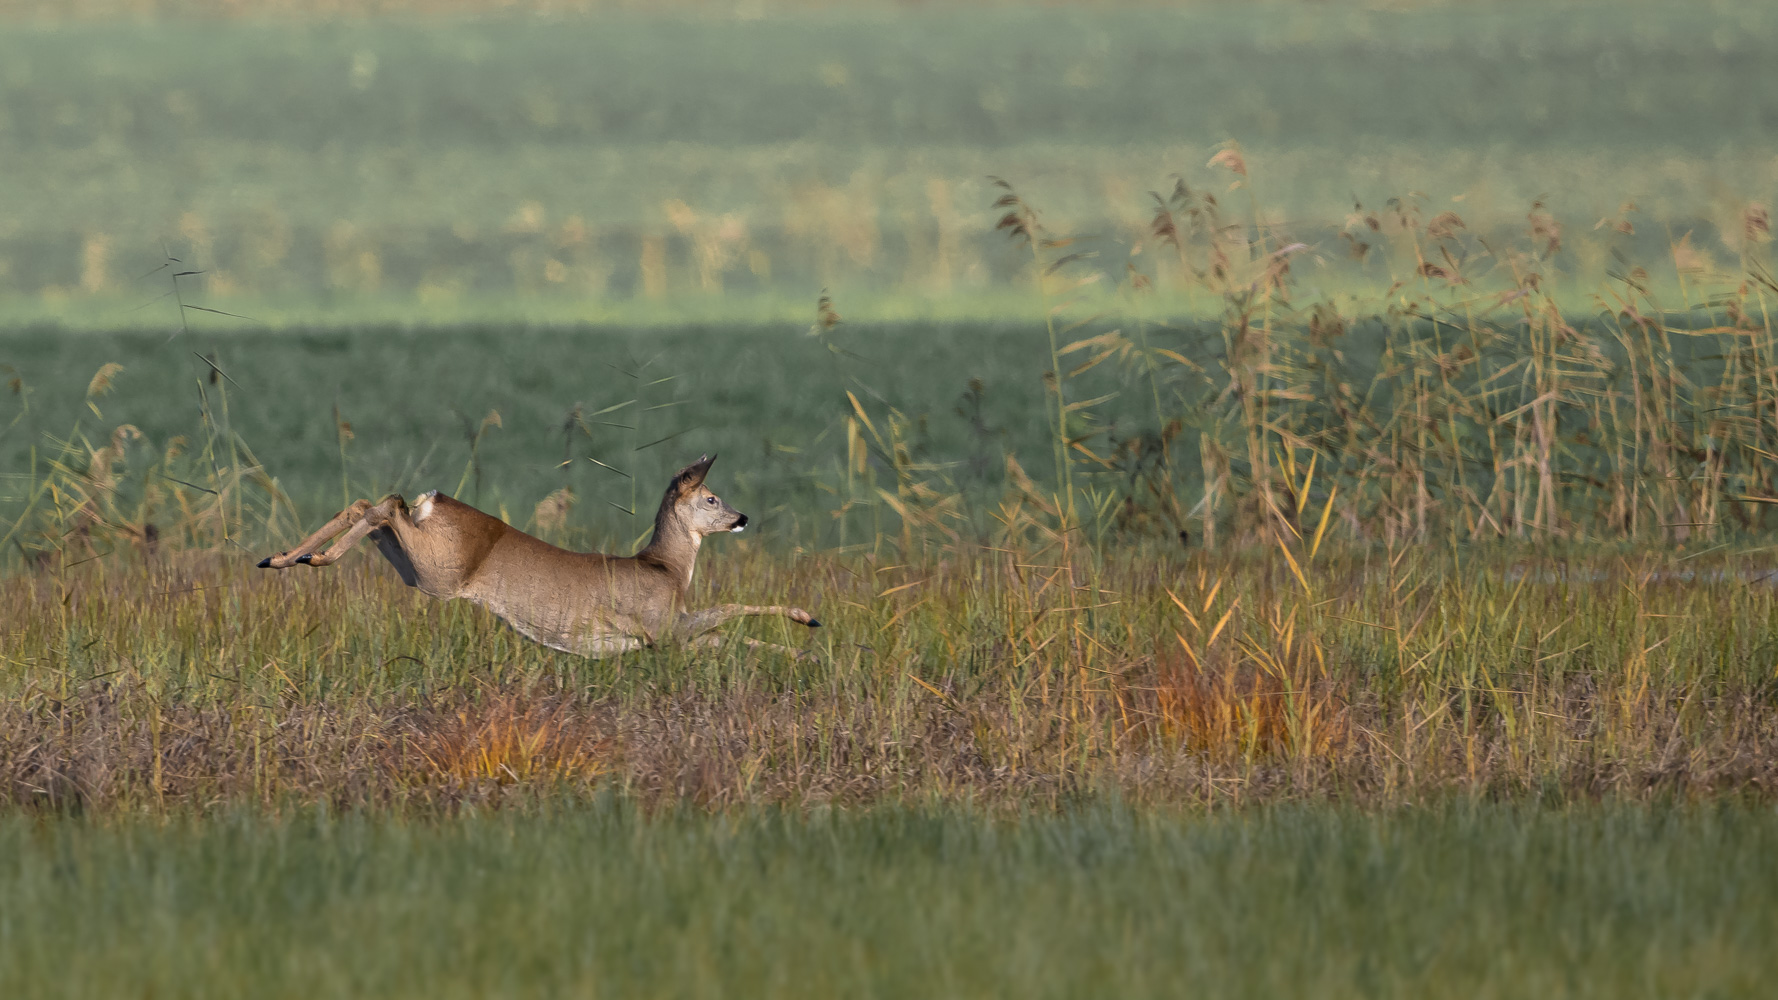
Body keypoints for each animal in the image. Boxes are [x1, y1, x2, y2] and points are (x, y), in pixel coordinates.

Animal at [256, 455, 817, 658]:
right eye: (712, 498)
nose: (743, 518)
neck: (668, 569)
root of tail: (433, 499)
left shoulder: (666, 637)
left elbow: (726, 633)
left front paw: (803, 650)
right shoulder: (662, 627)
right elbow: (730, 613)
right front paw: (808, 623)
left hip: (415, 569)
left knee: (367, 505)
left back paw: (284, 558)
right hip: (439, 573)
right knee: (386, 503)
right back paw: (308, 560)